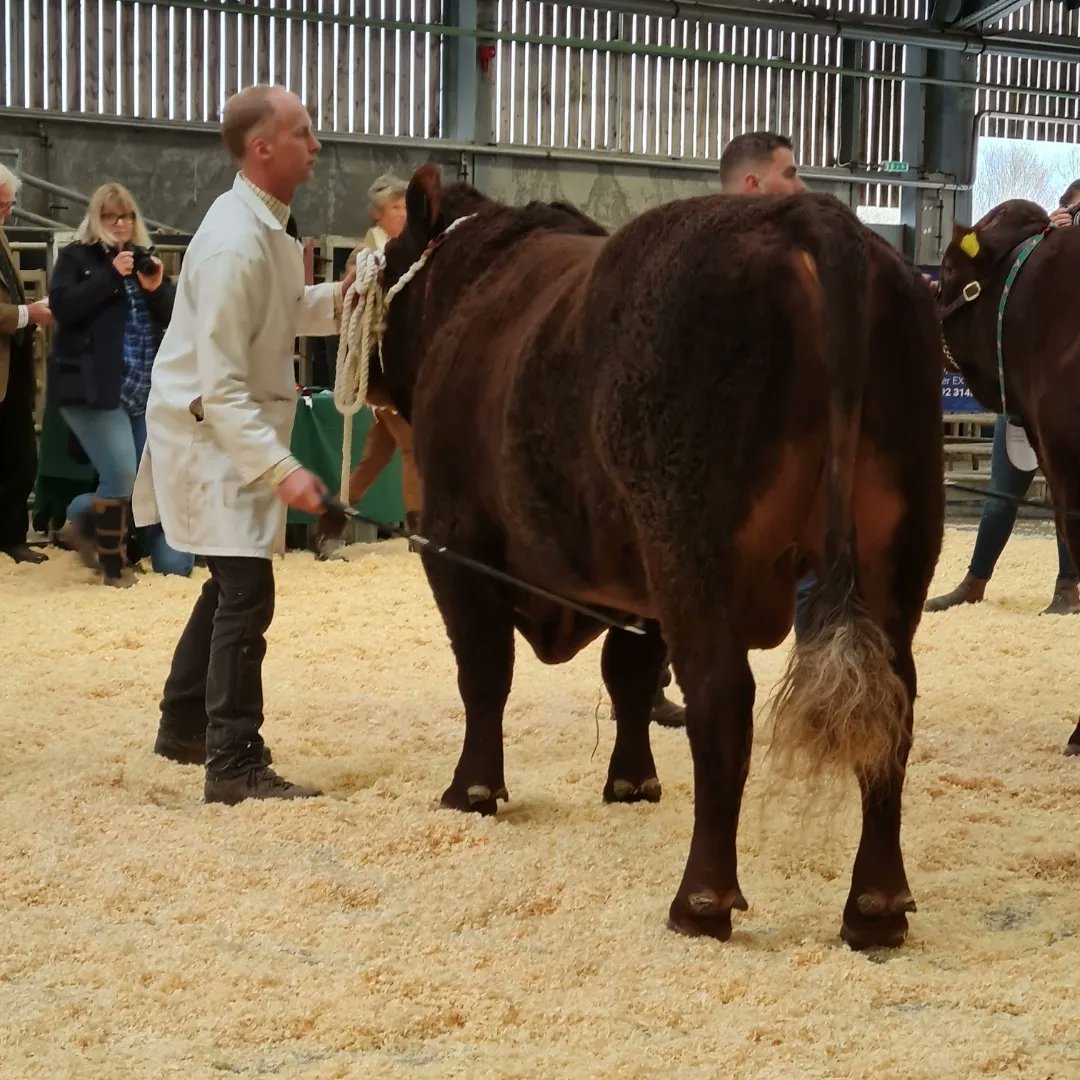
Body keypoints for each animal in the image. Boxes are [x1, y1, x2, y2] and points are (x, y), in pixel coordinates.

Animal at [368, 166, 944, 947]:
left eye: (387, 261)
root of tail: (813, 217)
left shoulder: (453, 537)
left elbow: (485, 672)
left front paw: (473, 790)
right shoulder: (633, 583)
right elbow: (631, 674)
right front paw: (631, 782)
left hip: (690, 538)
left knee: (722, 699)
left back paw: (701, 901)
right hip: (894, 541)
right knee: (892, 704)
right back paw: (876, 907)